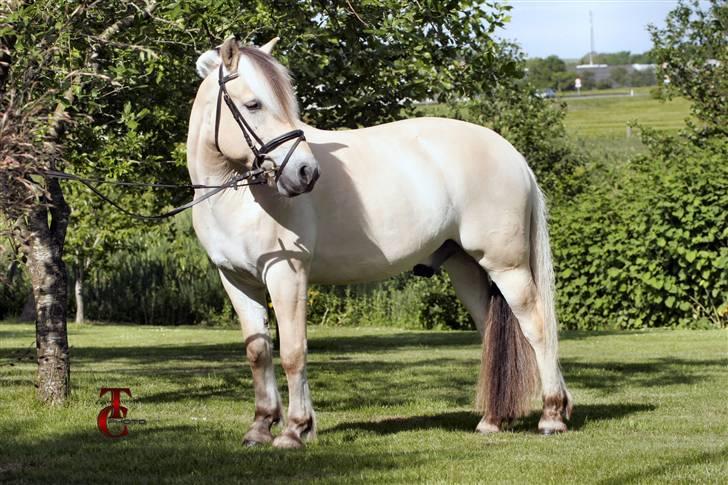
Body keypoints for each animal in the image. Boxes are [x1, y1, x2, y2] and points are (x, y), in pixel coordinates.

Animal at [189, 36, 576, 448]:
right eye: (253, 105)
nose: (306, 173)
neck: (238, 198)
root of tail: (511, 154)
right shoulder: (236, 280)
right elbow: (258, 351)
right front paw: (261, 427)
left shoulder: (286, 276)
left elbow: (293, 351)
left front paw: (294, 430)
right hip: (466, 268)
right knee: (492, 332)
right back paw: (493, 419)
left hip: (507, 266)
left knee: (537, 327)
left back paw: (552, 415)